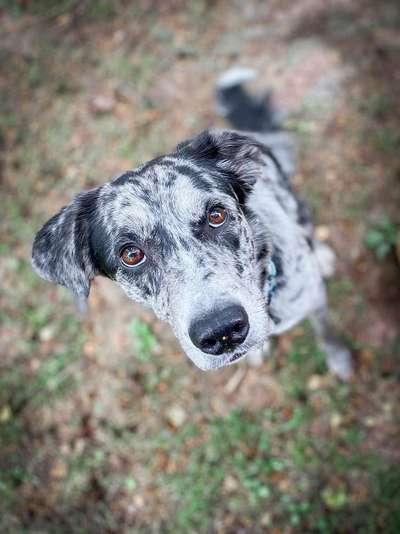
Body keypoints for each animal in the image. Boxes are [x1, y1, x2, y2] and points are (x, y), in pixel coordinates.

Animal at [32, 70, 354, 382]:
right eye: (131, 254)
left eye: (216, 215)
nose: (222, 331)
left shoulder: (314, 298)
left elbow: (326, 331)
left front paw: (338, 358)